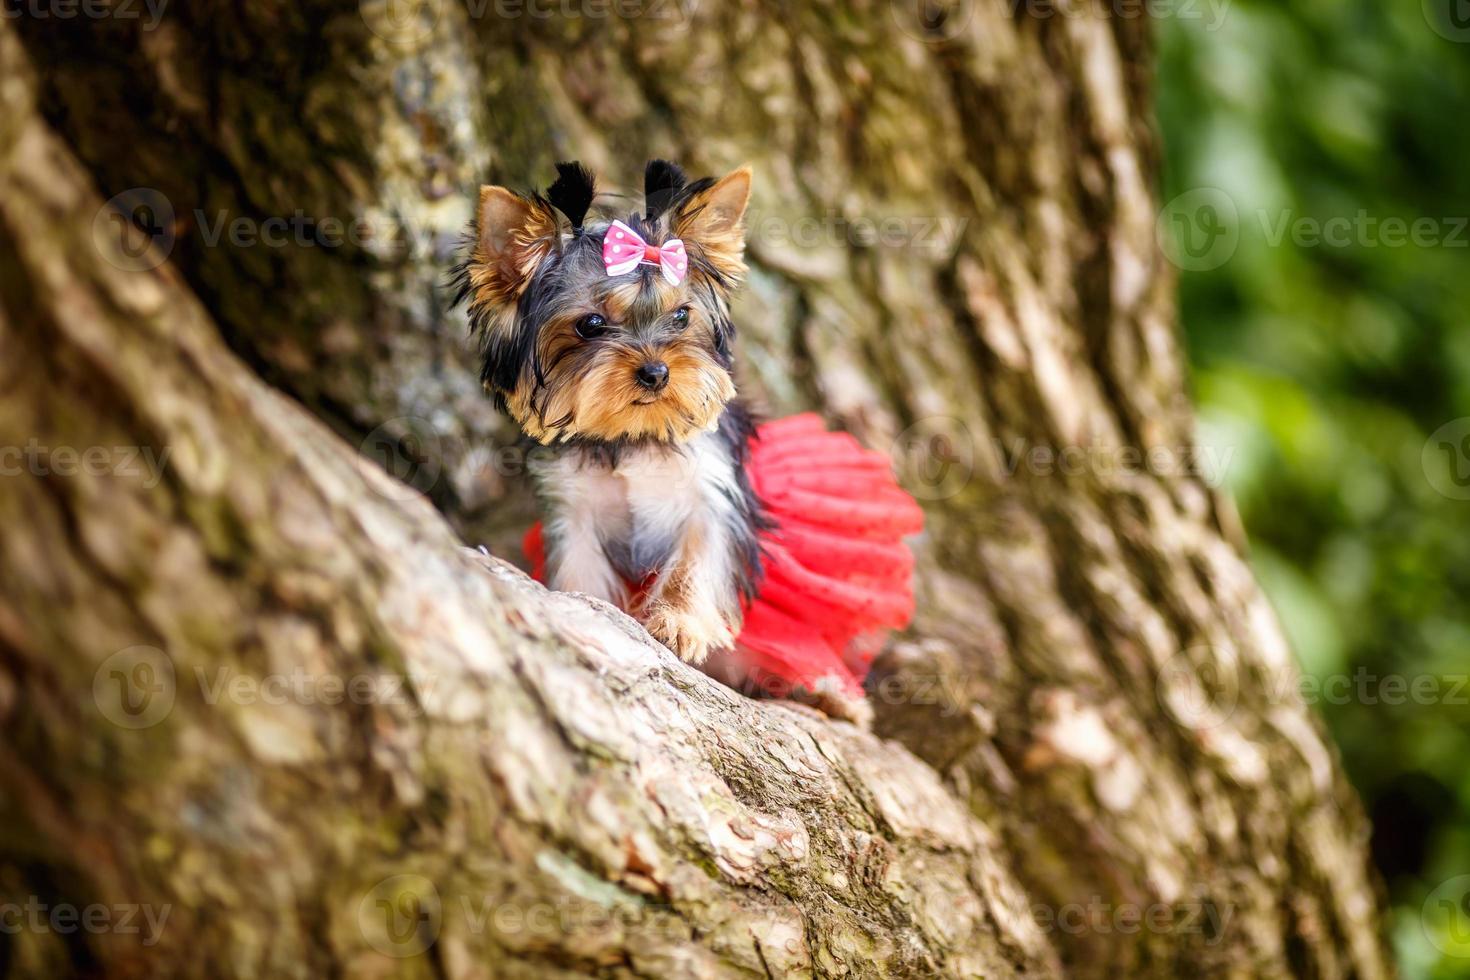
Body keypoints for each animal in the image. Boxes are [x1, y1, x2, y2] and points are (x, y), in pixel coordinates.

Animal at [452, 163, 764, 667]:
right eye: (591, 324)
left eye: (682, 316)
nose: (657, 372)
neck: (628, 434)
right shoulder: (571, 508)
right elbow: (580, 570)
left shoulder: (713, 492)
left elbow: (699, 554)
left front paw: (679, 622)